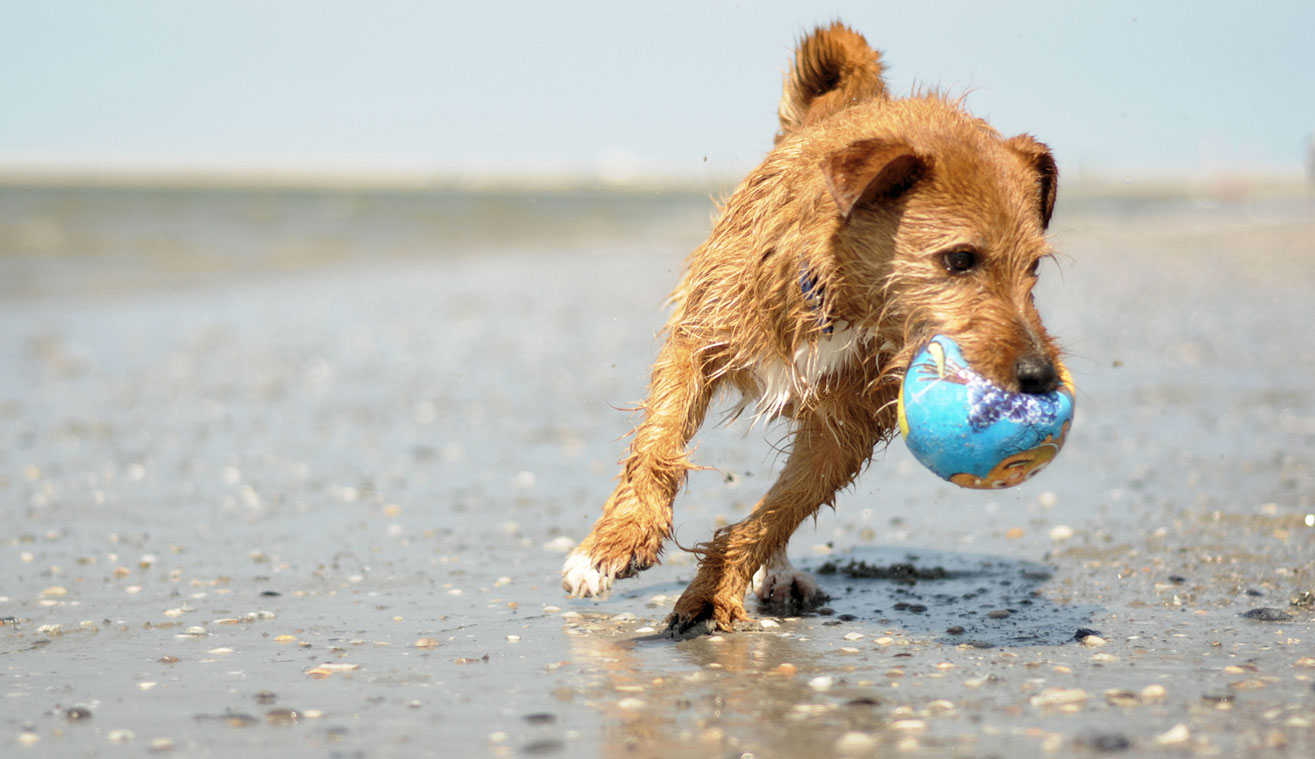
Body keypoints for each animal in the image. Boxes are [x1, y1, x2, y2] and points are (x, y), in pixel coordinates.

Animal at [560, 22, 1062, 634]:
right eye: (960, 259)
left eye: (1033, 267)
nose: (1040, 376)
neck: (841, 299)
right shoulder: (701, 338)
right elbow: (659, 440)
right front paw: (617, 540)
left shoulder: (845, 427)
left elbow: (778, 511)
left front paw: (714, 587)